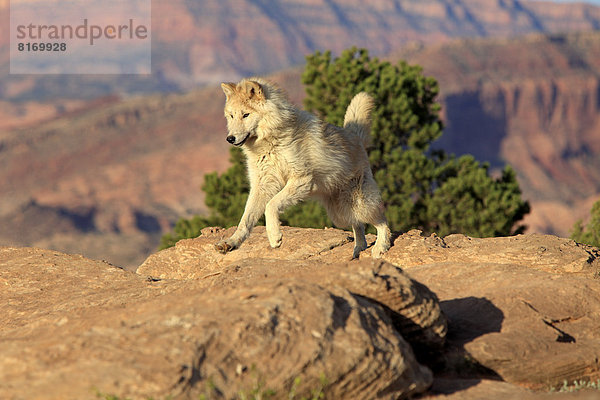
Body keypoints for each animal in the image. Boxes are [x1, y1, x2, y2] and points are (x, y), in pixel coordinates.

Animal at [216, 78, 394, 260]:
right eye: (231, 116)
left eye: (246, 115)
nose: (230, 138)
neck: (271, 142)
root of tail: (355, 135)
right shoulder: (263, 185)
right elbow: (245, 220)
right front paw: (231, 242)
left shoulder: (301, 179)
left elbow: (271, 206)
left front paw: (274, 237)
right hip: (340, 213)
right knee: (358, 225)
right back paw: (358, 250)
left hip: (357, 204)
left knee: (382, 220)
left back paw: (380, 247)